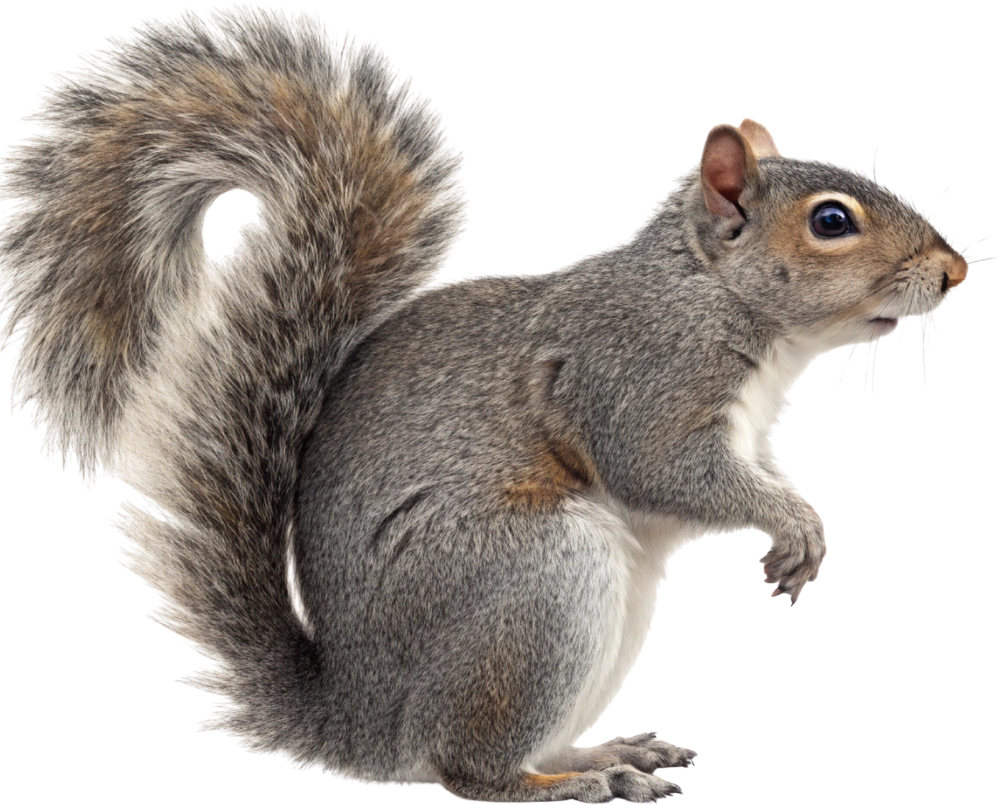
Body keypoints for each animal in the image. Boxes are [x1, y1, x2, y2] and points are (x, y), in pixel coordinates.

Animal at [0, 5, 973, 803]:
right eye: (832, 221)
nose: (957, 271)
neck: (714, 291)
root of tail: (363, 715)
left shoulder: (746, 425)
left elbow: (755, 469)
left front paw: (800, 521)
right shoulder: (639, 371)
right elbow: (663, 468)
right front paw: (792, 522)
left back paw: (602, 751)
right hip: (535, 583)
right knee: (467, 769)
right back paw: (577, 784)